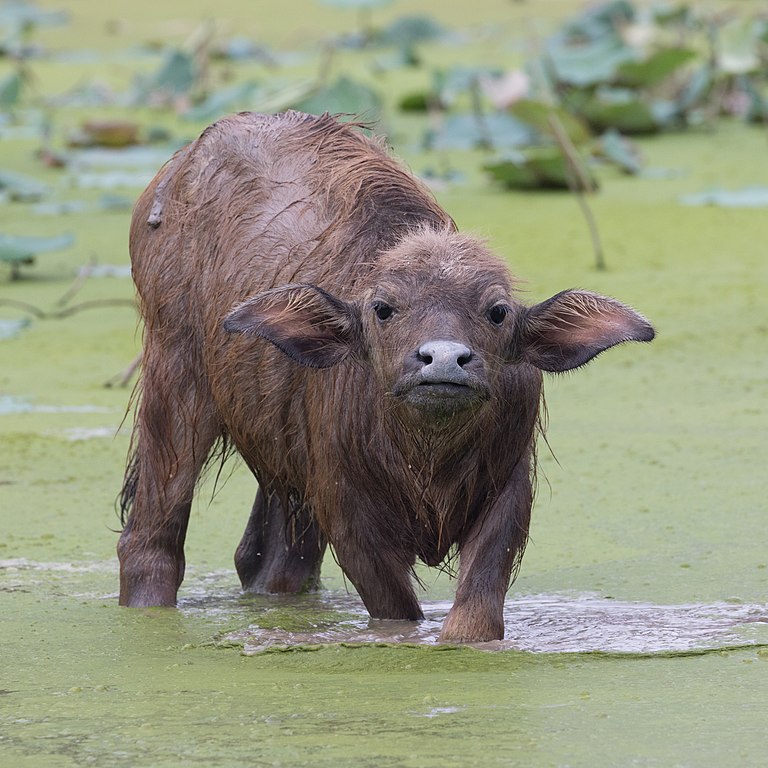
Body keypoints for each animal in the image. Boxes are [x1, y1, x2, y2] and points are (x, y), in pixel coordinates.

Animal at [120, 111, 656, 644]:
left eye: (498, 311)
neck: (427, 458)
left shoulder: (508, 493)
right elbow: (396, 608)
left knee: (273, 560)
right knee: (150, 537)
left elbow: (477, 610)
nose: (443, 359)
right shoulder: (347, 511)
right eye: (383, 309)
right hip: (175, 375)